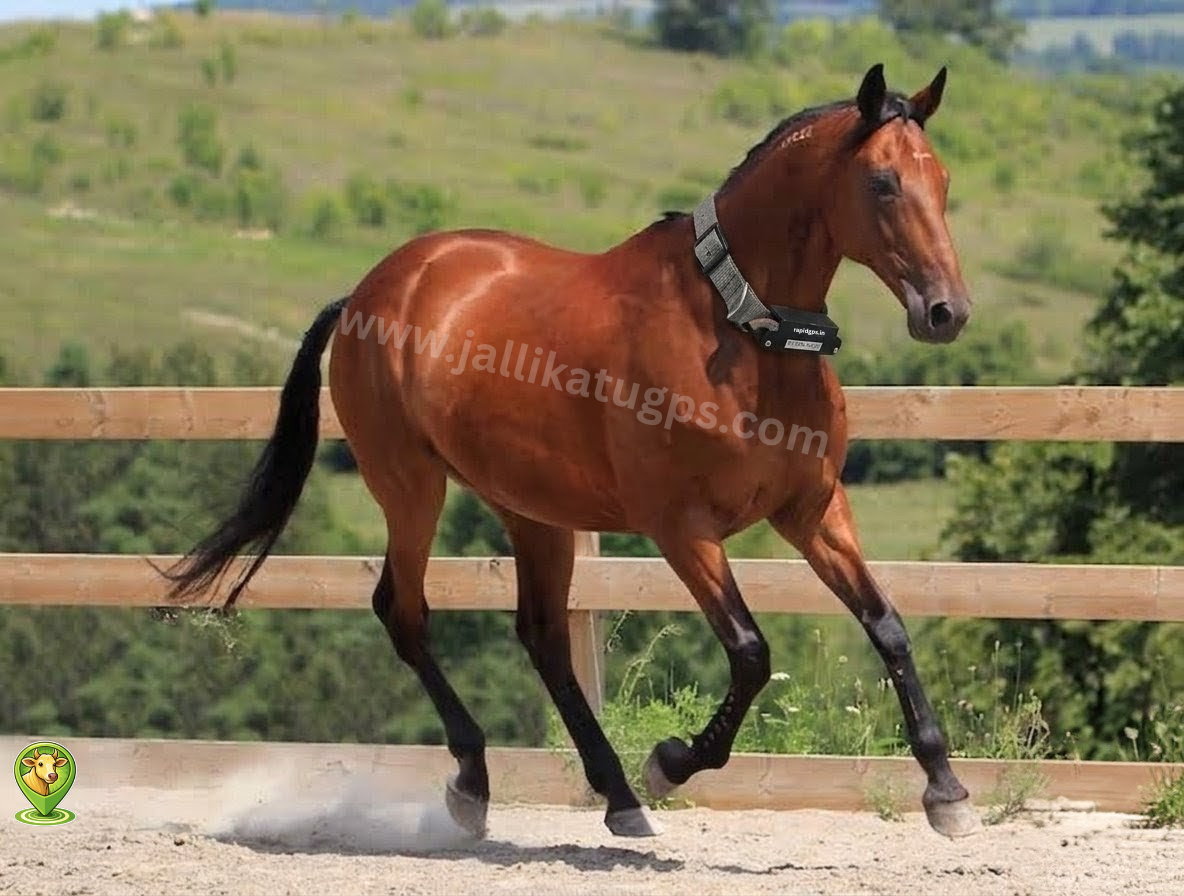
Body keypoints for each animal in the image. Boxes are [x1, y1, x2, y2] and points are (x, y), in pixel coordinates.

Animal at [162, 63, 976, 841]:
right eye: (881, 183)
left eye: (942, 181)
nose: (946, 312)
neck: (739, 332)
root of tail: (367, 293)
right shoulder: (682, 528)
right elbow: (751, 653)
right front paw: (671, 761)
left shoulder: (812, 511)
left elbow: (887, 626)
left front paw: (946, 792)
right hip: (411, 486)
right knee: (405, 611)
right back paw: (476, 785)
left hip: (532, 511)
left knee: (542, 636)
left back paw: (616, 797)